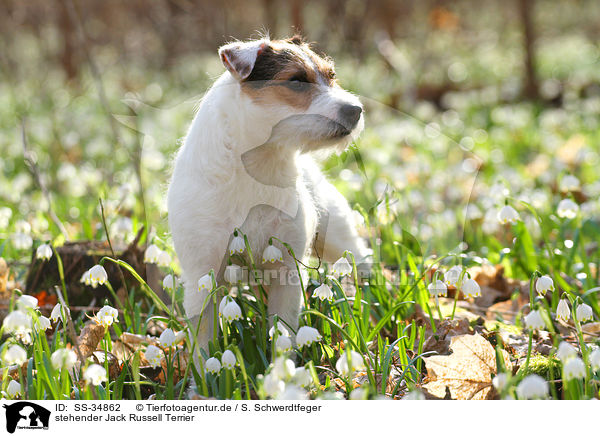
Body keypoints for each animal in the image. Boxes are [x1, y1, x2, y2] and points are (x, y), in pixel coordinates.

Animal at [165, 35, 370, 356]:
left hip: (339, 239)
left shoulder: (287, 271)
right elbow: (205, 347)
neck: (259, 166)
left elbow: (284, 332)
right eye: (297, 80)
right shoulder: (202, 275)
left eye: (332, 75)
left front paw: (282, 367)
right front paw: (204, 371)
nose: (356, 110)